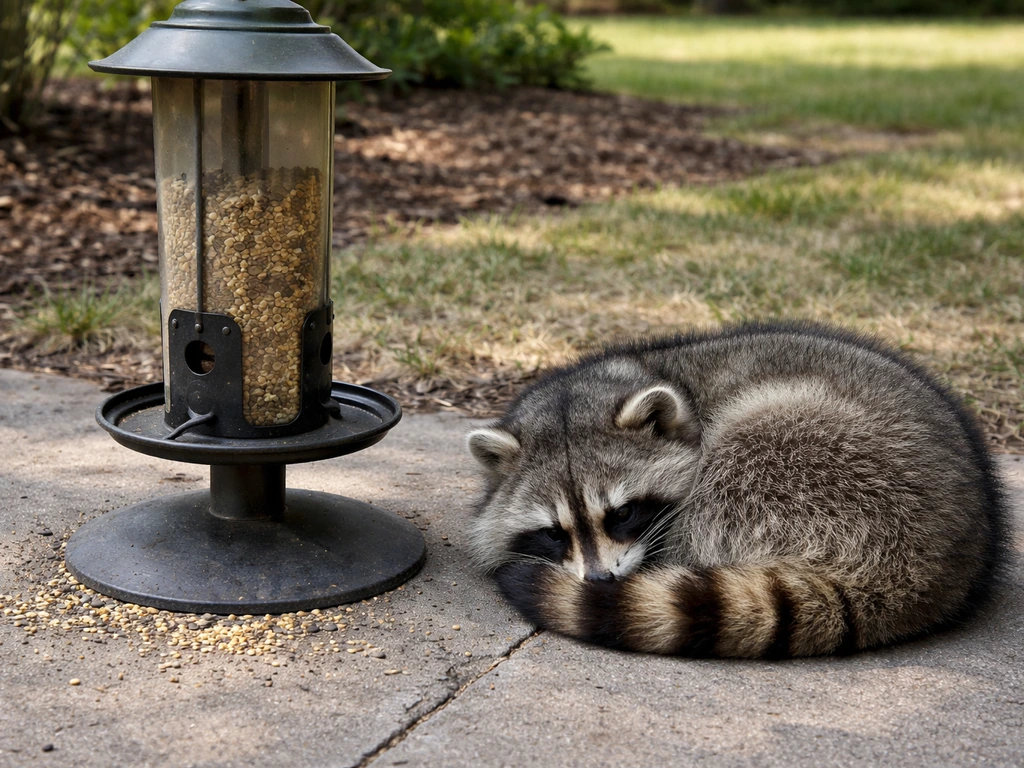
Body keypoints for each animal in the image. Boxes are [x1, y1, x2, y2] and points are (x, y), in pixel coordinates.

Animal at [466, 321, 1009, 658]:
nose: (600, 583)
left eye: (622, 514)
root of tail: (938, 566)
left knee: (731, 471)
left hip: (817, 461)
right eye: (554, 533)